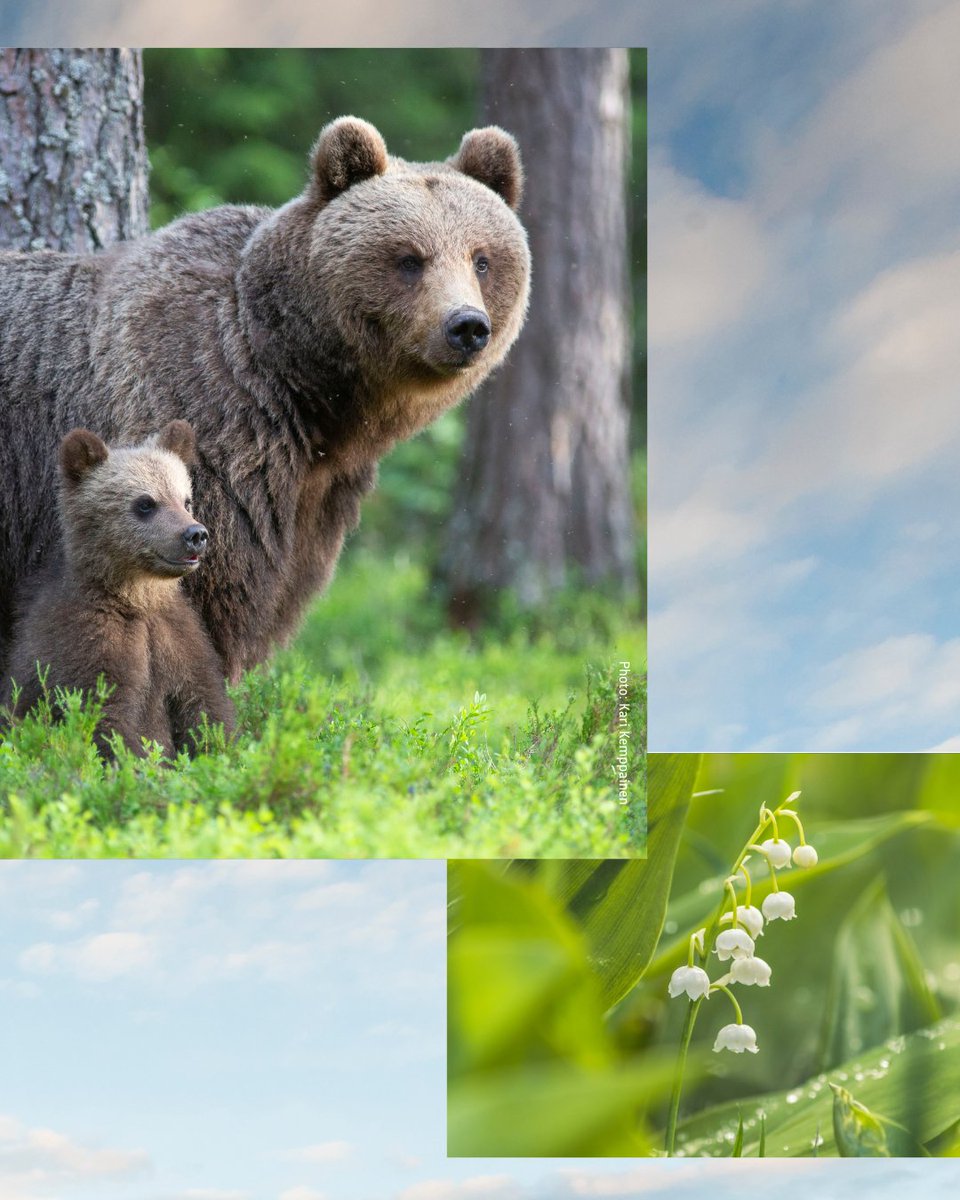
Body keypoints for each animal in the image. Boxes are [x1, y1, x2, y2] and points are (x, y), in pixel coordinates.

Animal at [3, 420, 235, 759]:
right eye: (145, 503)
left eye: (186, 499)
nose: (195, 534)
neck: (135, 599)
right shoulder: (90, 638)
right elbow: (107, 713)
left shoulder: (179, 636)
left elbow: (206, 707)